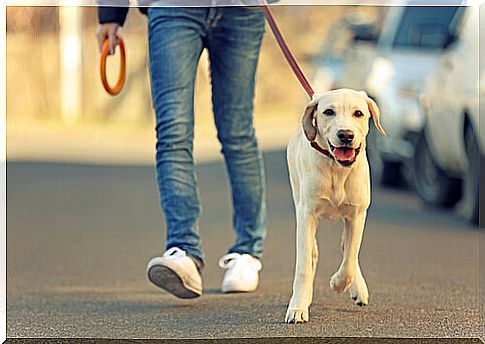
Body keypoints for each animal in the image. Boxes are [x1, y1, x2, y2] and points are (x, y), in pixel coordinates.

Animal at [286, 88, 384, 322]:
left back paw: (358, 288)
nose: (346, 135)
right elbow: (304, 265)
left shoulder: (357, 215)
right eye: (328, 112)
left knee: (348, 249)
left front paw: (339, 283)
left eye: (358, 113)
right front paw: (298, 306)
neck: (337, 169)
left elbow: (349, 259)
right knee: (312, 252)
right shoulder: (307, 214)